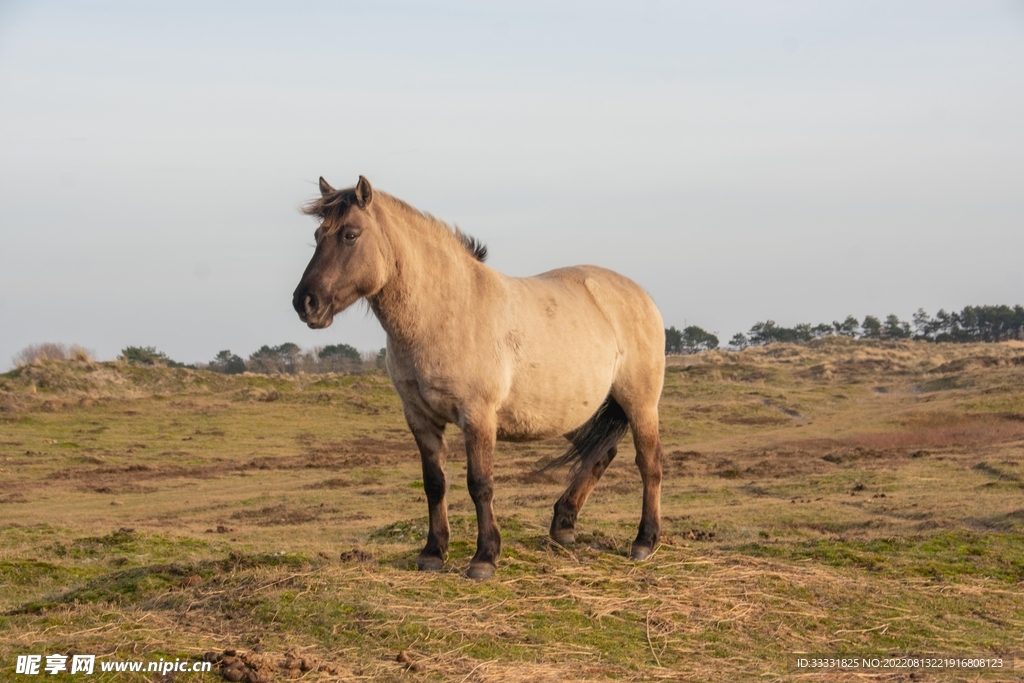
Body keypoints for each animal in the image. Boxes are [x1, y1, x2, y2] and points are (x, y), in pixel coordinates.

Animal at [293, 176, 665, 580]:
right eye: (317, 235)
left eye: (350, 235)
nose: (305, 302)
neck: (443, 313)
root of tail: (639, 295)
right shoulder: (419, 418)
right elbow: (434, 483)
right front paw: (432, 552)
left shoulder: (478, 416)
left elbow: (480, 485)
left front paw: (484, 557)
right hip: (572, 408)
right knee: (600, 454)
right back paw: (564, 526)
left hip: (640, 404)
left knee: (649, 464)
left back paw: (644, 541)